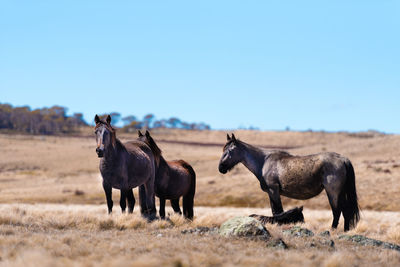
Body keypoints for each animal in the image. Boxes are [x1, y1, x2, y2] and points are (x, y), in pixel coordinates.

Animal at [219, 134, 360, 232]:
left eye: (229, 151)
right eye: (223, 150)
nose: (221, 168)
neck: (264, 162)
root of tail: (343, 159)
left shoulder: (273, 190)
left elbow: (277, 211)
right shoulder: (271, 193)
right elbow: (275, 211)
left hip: (332, 192)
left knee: (337, 211)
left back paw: (333, 230)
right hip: (340, 193)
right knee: (346, 211)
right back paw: (346, 230)